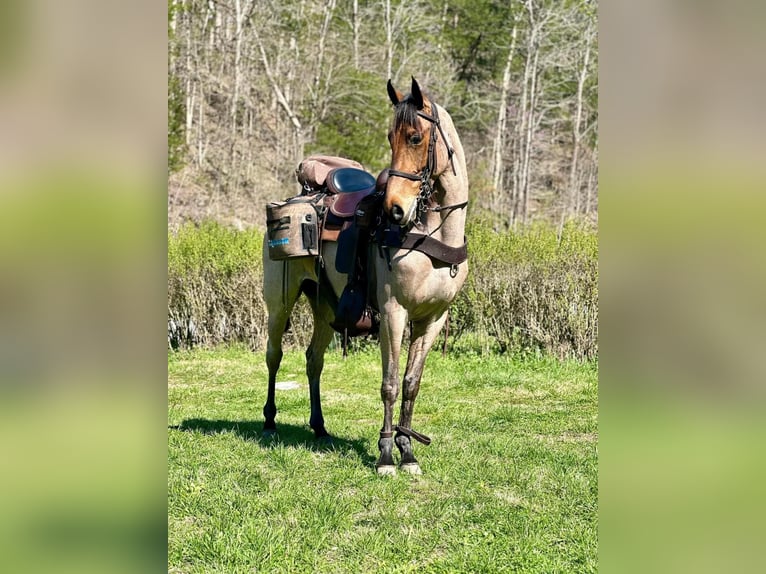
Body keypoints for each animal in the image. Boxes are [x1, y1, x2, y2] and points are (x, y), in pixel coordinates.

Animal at [262, 79, 468, 480]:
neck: (431, 234)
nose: (395, 210)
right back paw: (269, 421)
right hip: (280, 303)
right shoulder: (392, 313)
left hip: (325, 306)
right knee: (274, 356)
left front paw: (408, 451)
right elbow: (389, 384)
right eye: (390, 137)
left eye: (415, 137)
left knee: (314, 360)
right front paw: (386, 455)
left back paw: (320, 427)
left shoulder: (433, 319)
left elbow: (411, 384)